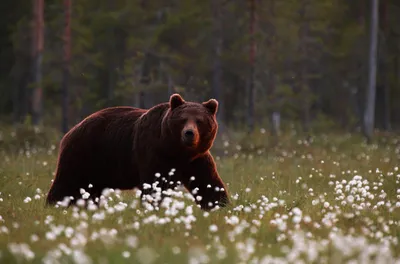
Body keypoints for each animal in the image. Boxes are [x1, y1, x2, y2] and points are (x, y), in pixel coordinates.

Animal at [44, 94, 228, 211]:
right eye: (183, 119)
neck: (178, 151)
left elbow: (209, 182)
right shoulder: (154, 152)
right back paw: (53, 205)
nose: (189, 133)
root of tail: (71, 130)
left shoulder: (196, 159)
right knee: (67, 182)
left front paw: (221, 205)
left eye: (200, 121)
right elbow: (157, 185)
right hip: (84, 154)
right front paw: (154, 207)